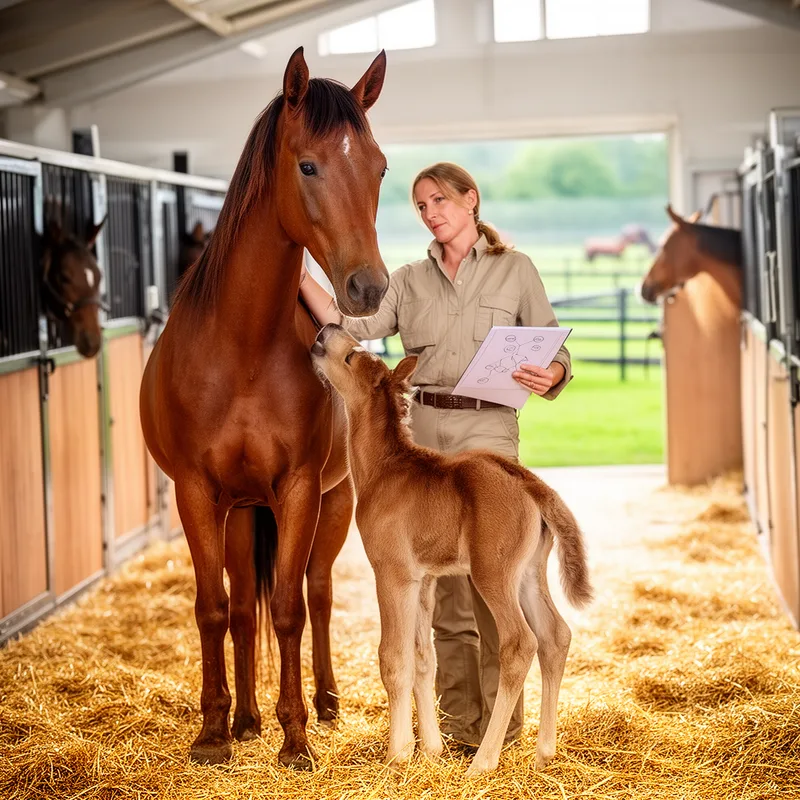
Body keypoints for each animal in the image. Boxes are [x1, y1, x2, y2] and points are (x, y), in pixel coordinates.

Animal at [139, 47, 389, 769]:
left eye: (380, 167)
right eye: (307, 165)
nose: (369, 287)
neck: (242, 347)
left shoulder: (301, 490)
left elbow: (289, 608)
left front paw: (296, 736)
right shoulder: (197, 492)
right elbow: (216, 608)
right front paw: (213, 732)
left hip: (332, 502)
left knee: (318, 593)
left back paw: (324, 703)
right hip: (242, 511)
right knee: (244, 606)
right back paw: (246, 718)